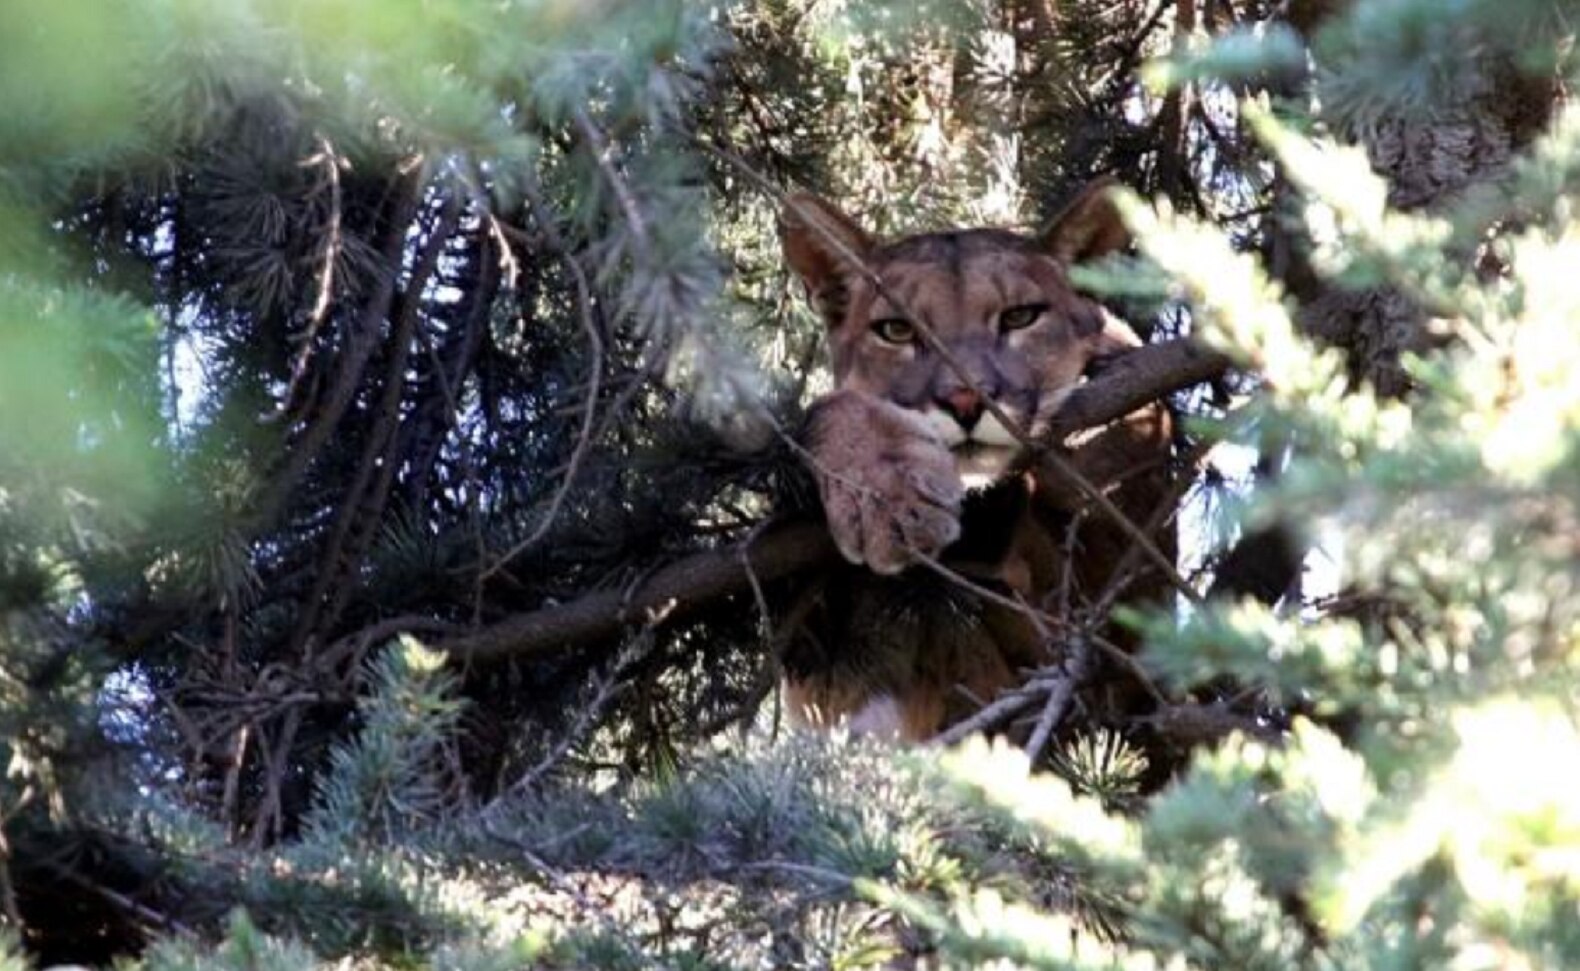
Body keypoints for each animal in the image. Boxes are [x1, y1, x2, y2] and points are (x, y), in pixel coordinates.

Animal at [776, 181, 1175, 741]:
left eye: (1020, 317)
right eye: (895, 330)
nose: (965, 400)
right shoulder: (823, 674)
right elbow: (832, 406)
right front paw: (887, 495)